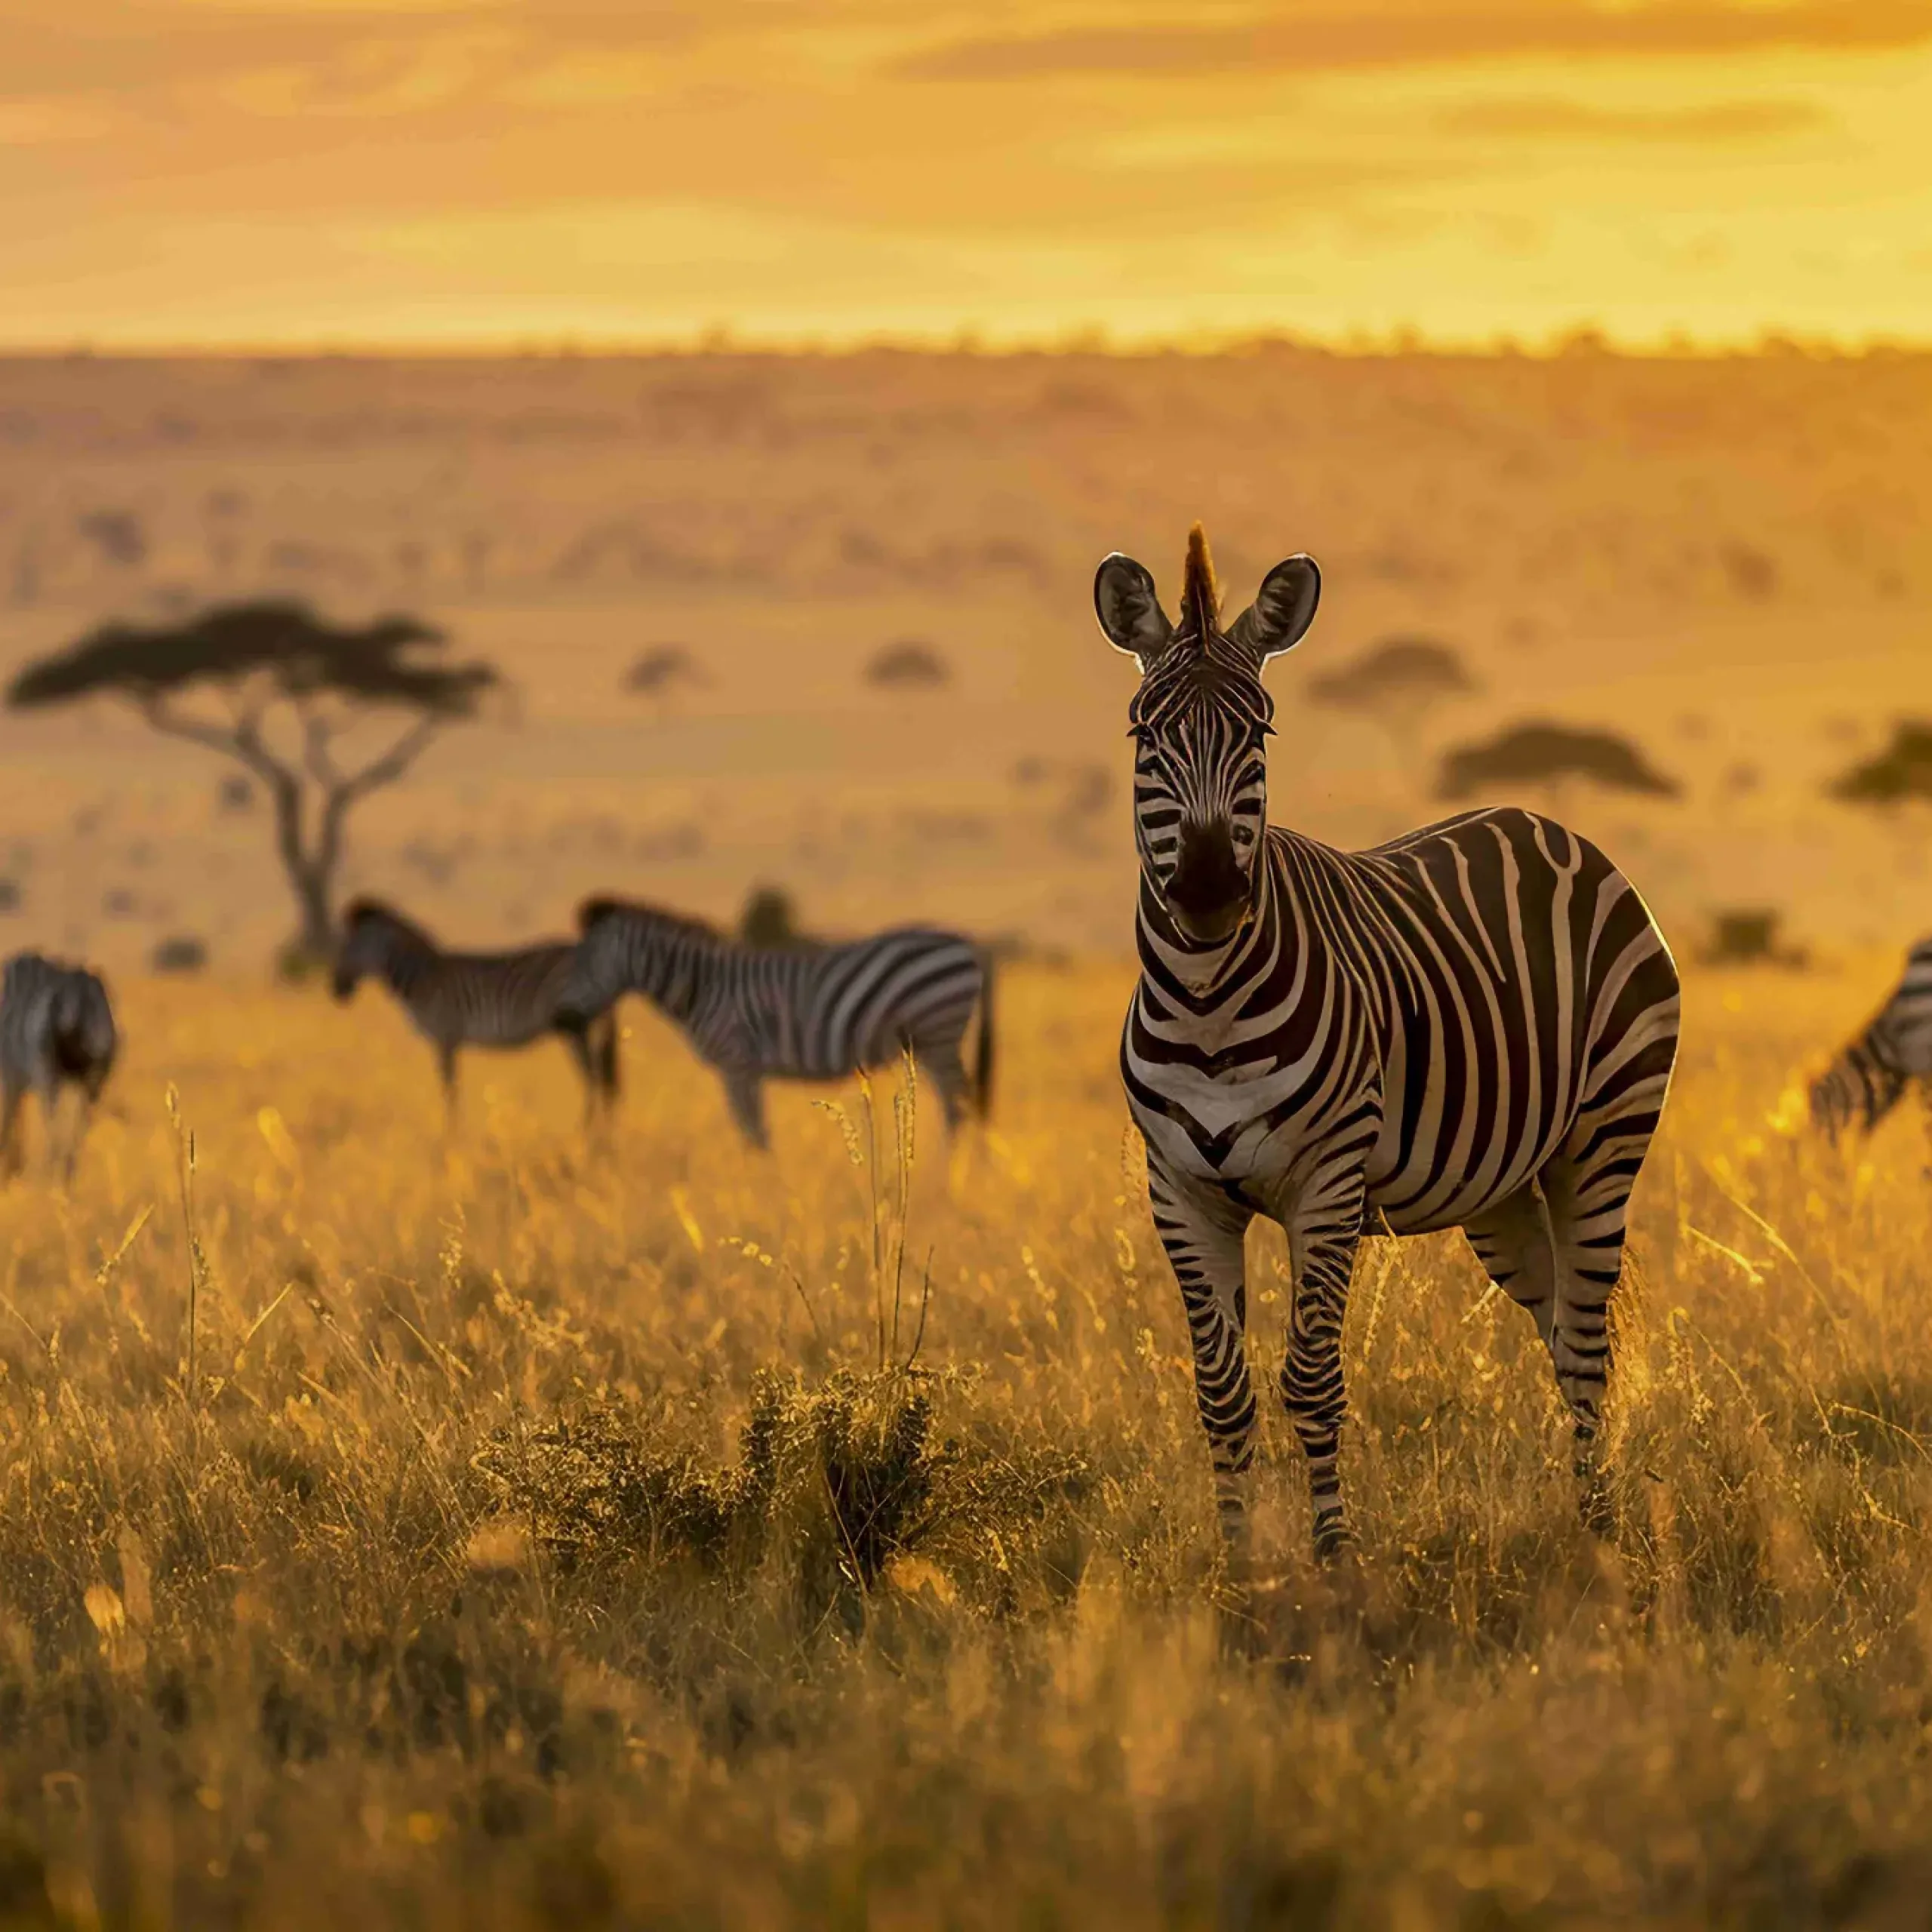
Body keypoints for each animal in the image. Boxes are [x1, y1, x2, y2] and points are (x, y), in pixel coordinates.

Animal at [331, 899, 619, 1123]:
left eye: (351, 947)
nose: (337, 991)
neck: (423, 979)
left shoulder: (445, 1038)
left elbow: (450, 1092)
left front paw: (451, 1138)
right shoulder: (449, 1041)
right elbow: (452, 1091)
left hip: (576, 1027)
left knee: (594, 1079)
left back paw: (587, 1135)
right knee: (600, 1081)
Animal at [560, 898, 993, 1148]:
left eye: (582, 960)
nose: (568, 1015)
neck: (703, 986)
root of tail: (968, 943)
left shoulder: (736, 1064)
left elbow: (753, 1133)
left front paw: (760, 1190)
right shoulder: (744, 1070)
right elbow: (756, 1131)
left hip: (939, 1033)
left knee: (961, 1107)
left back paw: (947, 1178)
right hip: (928, 1042)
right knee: (959, 1106)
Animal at [1095, 525, 1681, 1560]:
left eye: (1259, 734)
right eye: (1143, 736)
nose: (1206, 894)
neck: (1207, 1002)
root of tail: (1546, 820)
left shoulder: (1325, 1185)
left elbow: (1311, 1380)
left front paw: (1333, 1559)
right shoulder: (1181, 1193)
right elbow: (1222, 1393)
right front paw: (1238, 1570)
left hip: (1603, 1138)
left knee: (1585, 1343)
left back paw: (1600, 1535)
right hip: (1501, 1186)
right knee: (1559, 1323)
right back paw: (1586, 1519)